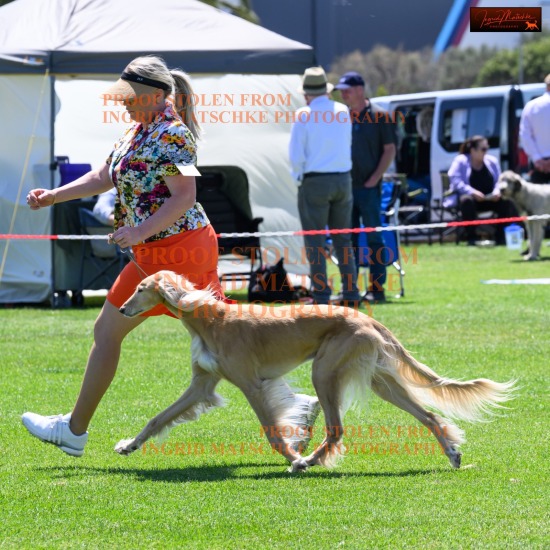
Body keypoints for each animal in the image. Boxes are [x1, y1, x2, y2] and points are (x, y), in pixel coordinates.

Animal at [116, 272, 516, 474]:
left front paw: (295, 458)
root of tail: (368, 318)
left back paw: (308, 460)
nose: (120, 309)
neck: (210, 319)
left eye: (140, 288)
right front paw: (129, 444)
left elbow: (273, 432)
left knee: (336, 428)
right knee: (429, 415)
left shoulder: (251, 383)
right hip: (380, 381)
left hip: (324, 372)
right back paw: (452, 454)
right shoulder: (203, 384)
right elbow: (158, 417)